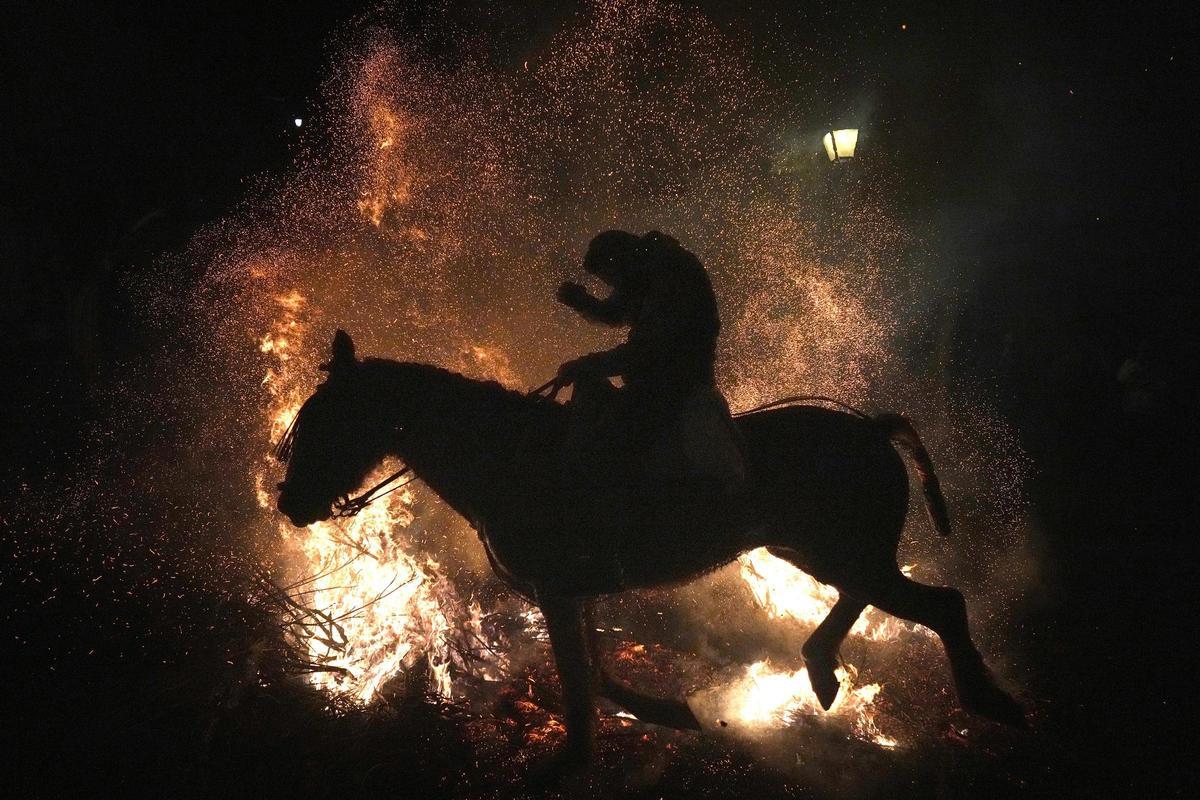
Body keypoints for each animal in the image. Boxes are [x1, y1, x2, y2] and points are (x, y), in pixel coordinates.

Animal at [278, 331, 1022, 767]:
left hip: (843, 552)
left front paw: (575, 762)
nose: (289, 504)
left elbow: (579, 681)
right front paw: (668, 714)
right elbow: (595, 674)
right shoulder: (572, 594)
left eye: (327, 419)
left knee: (934, 604)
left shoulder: (558, 593)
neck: (512, 457)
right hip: (808, 551)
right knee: (906, 602)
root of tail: (871, 428)